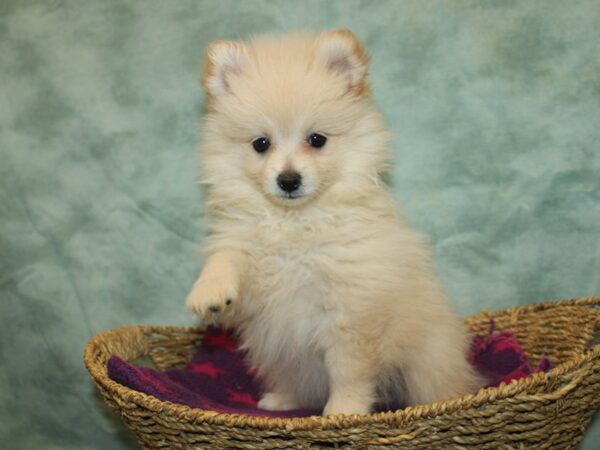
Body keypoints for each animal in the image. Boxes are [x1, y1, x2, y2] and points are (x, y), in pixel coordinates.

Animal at [185, 28, 480, 414]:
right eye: (261, 144)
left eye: (316, 140)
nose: (289, 180)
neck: (294, 222)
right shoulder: (247, 254)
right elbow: (226, 258)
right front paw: (210, 291)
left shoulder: (351, 312)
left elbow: (348, 372)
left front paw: (344, 411)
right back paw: (282, 399)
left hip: (428, 360)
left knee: (436, 384)